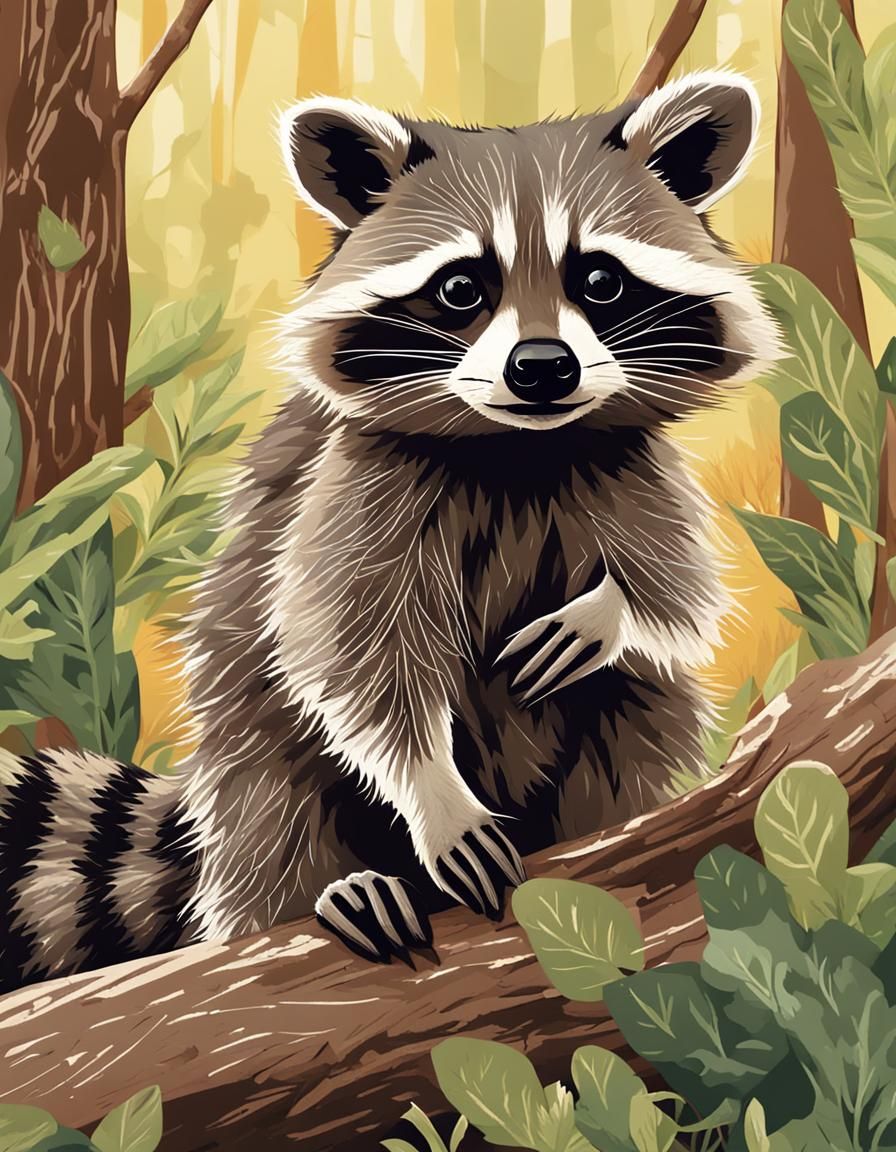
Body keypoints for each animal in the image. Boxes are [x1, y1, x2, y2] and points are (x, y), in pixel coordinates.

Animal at [0, 70, 779, 990]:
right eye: (462, 288)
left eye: (599, 280)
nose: (541, 368)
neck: (520, 450)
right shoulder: (353, 486)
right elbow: (347, 655)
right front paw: (433, 791)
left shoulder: (627, 470)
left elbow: (677, 591)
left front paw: (607, 614)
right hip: (241, 742)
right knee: (269, 783)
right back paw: (327, 887)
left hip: (620, 736)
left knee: (630, 720)